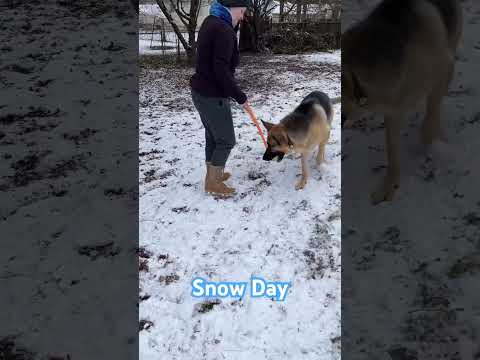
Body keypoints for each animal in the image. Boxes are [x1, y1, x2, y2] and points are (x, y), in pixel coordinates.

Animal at [342, 0, 462, 202]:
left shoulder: (445, 67)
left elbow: (432, 112)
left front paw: (432, 144)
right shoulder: (393, 110)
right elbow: (392, 153)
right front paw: (389, 187)